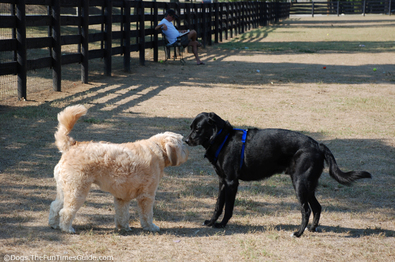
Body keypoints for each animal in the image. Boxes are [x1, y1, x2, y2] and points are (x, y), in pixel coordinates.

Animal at [48, 104, 190, 233]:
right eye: (182, 143)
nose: (188, 144)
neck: (158, 149)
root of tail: (71, 145)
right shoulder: (146, 196)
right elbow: (147, 215)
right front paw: (151, 227)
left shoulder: (122, 197)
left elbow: (122, 214)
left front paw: (124, 227)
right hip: (77, 190)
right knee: (66, 211)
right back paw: (67, 228)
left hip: (63, 189)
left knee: (55, 206)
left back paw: (54, 224)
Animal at [186, 112, 372, 237]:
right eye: (191, 127)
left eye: (198, 128)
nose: (187, 140)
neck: (222, 139)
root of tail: (318, 145)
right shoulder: (222, 182)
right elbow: (218, 205)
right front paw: (211, 222)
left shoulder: (232, 182)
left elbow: (228, 208)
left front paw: (222, 225)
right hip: (308, 186)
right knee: (317, 207)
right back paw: (312, 229)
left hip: (300, 184)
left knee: (306, 210)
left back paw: (298, 233)